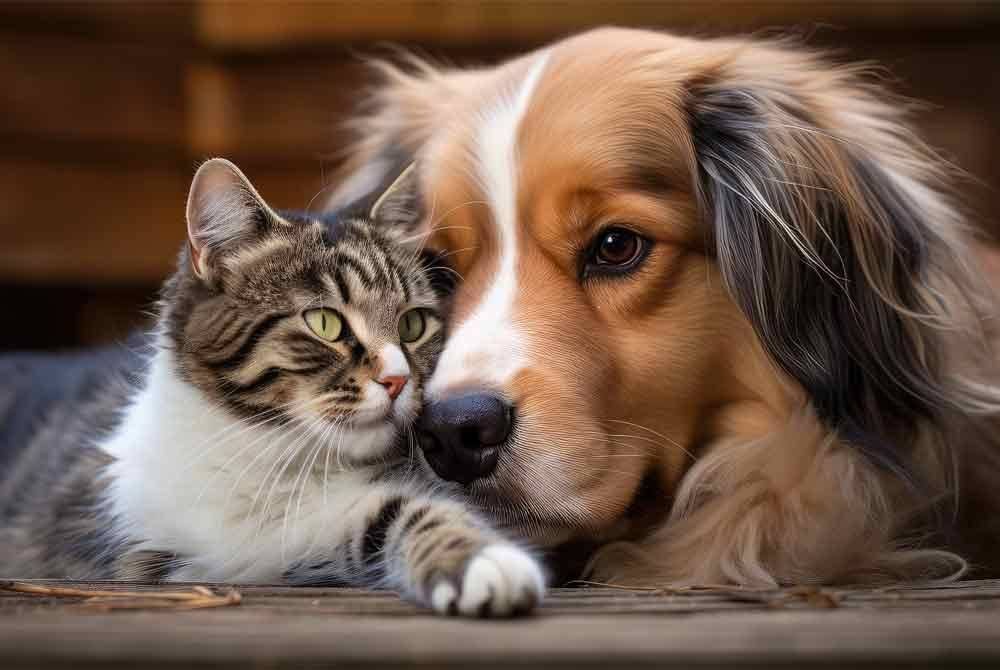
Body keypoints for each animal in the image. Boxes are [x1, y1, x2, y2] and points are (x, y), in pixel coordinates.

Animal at [0, 159, 548, 620]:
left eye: (413, 324)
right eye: (325, 322)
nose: (397, 379)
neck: (275, 461)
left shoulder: (331, 517)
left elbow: (406, 512)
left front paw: (483, 560)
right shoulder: (129, 541)